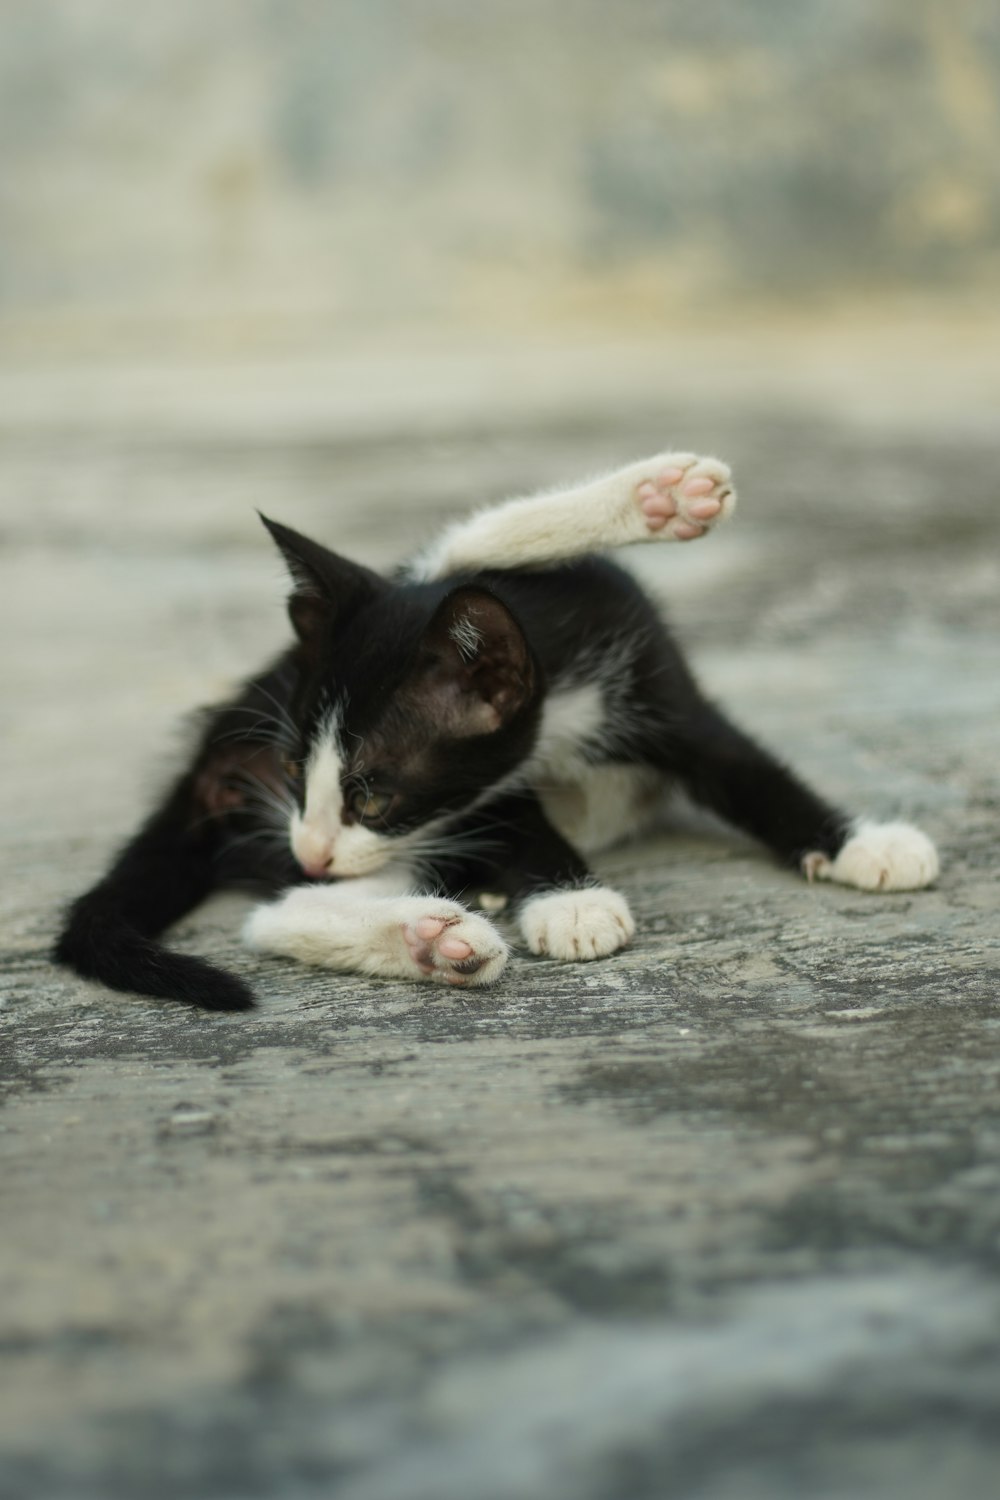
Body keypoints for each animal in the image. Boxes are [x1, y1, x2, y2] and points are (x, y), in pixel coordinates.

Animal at [54, 447, 941, 1008]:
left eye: (372, 797)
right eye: (295, 770)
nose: (311, 844)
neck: (563, 707)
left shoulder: (655, 674)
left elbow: (746, 767)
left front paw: (859, 843)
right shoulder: (482, 784)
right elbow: (514, 803)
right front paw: (573, 901)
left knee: (286, 906)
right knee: (272, 913)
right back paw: (433, 938)